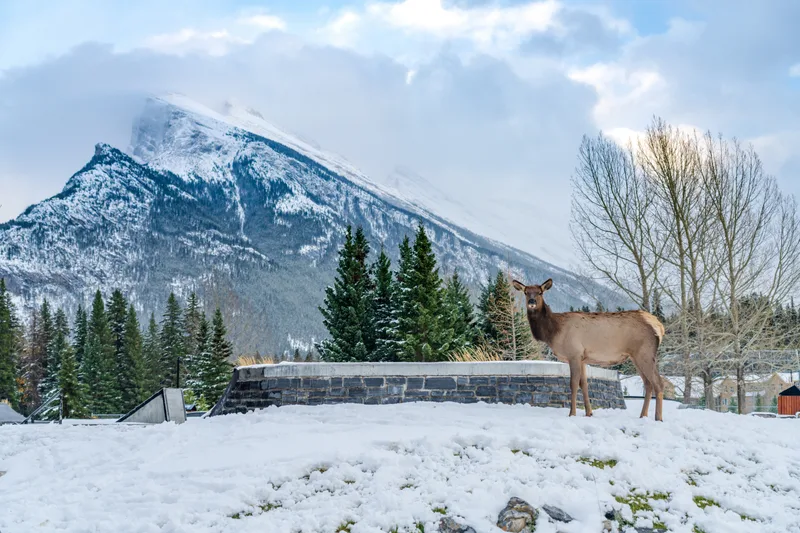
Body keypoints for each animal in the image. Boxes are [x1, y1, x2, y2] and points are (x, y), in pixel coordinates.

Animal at [512, 278, 667, 421]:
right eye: (526, 292)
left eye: (540, 292)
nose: (531, 301)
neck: (553, 332)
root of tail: (659, 327)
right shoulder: (583, 358)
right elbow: (584, 384)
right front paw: (589, 413)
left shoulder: (574, 353)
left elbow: (573, 384)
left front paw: (572, 413)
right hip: (636, 356)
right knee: (648, 383)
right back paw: (643, 416)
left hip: (645, 353)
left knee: (658, 382)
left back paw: (658, 418)